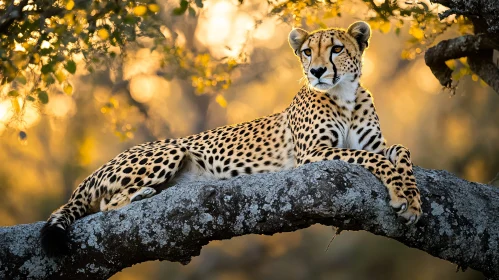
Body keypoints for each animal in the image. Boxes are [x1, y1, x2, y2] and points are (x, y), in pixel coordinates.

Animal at [41, 20, 422, 255]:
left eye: (337, 49)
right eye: (307, 52)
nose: (316, 71)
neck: (344, 95)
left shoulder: (373, 143)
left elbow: (400, 152)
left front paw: (412, 197)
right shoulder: (313, 154)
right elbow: (372, 159)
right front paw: (402, 196)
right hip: (171, 151)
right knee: (107, 203)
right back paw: (143, 194)